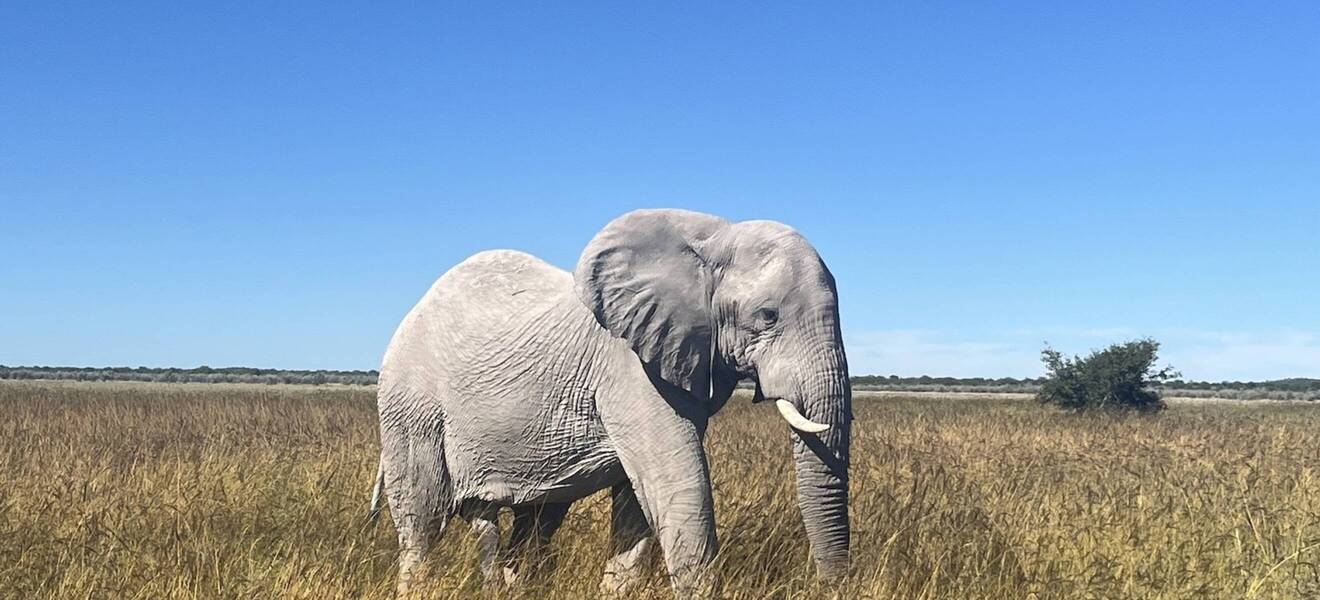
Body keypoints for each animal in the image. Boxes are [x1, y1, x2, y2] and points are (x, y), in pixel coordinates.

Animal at [369, 209, 852, 597]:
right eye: (768, 316)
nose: (830, 586)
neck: (711, 237)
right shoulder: (630, 368)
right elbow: (680, 484)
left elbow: (639, 506)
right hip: (410, 405)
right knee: (422, 522)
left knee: (533, 522)